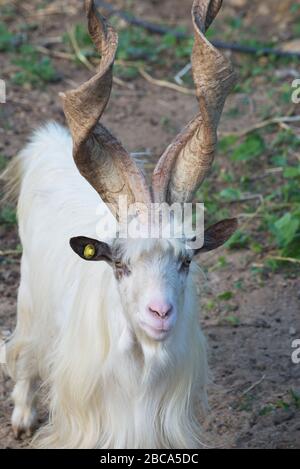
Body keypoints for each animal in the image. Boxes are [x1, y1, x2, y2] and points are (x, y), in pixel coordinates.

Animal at [2, 0, 237, 448]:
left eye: (185, 261)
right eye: (119, 264)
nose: (160, 312)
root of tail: (48, 144)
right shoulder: (82, 420)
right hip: (30, 297)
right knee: (23, 351)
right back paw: (22, 416)